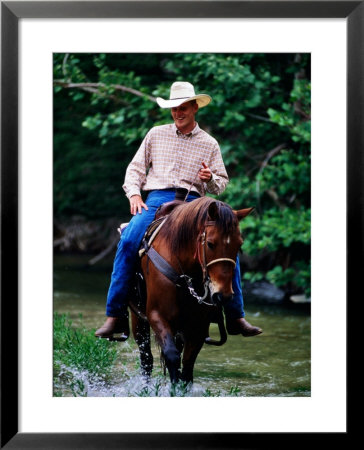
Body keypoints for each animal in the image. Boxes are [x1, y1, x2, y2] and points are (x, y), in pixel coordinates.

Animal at [129, 197, 253, 384]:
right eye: (210, 243)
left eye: (239, 245)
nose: (222, 296)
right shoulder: (156, 315)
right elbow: (172, 357)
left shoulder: (198, 325)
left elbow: (187, 367)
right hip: (138, 319)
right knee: (146, 359)